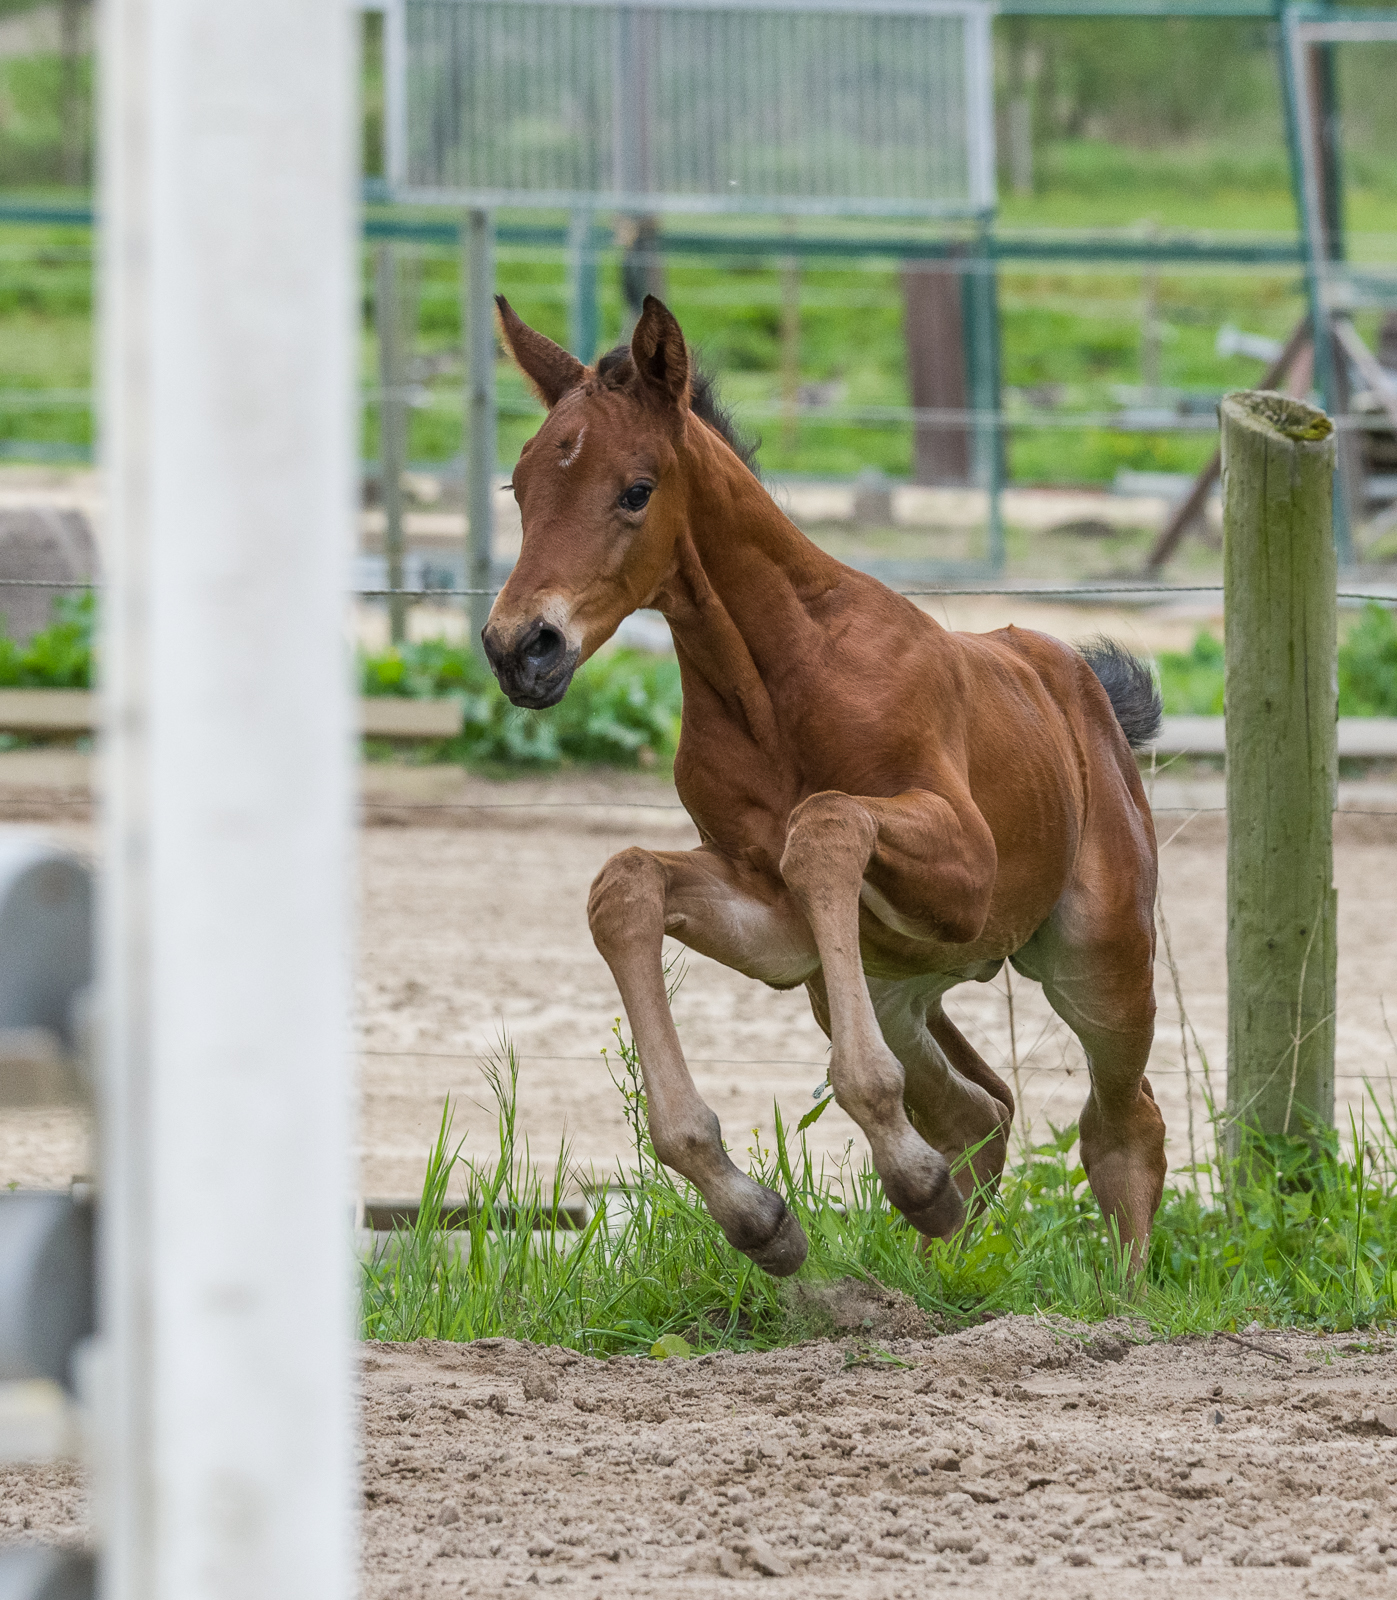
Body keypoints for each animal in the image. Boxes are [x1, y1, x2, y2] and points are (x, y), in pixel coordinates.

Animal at [480, 297, 1164, 1273]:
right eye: (520, 486)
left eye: (636, 489)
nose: (519, 648)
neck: (778, 683)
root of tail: (1081, 687)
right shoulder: (778, 929)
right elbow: (626, 882)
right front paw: (758, 1216)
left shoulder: (967, 872)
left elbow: (826, 826)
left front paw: (893, 1173)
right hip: (887, 986)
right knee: (979, 1112)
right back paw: (939, 1252)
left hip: (1095, 958)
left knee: (1121, 1125)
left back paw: (1116, 1287)